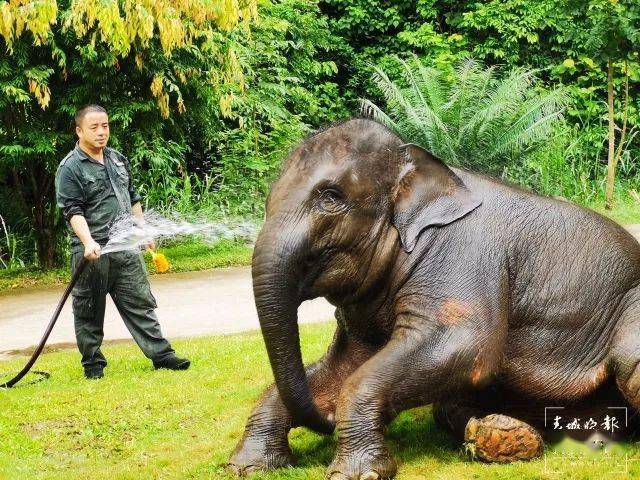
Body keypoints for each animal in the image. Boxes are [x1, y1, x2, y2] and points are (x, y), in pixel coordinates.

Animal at [227, 118, 640, 479]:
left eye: (331, 197)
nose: (324, 420)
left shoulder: (465, 253)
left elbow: (467, 347)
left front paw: (358, 473)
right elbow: (346, 365)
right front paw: (248, 467)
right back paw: (505, 437)